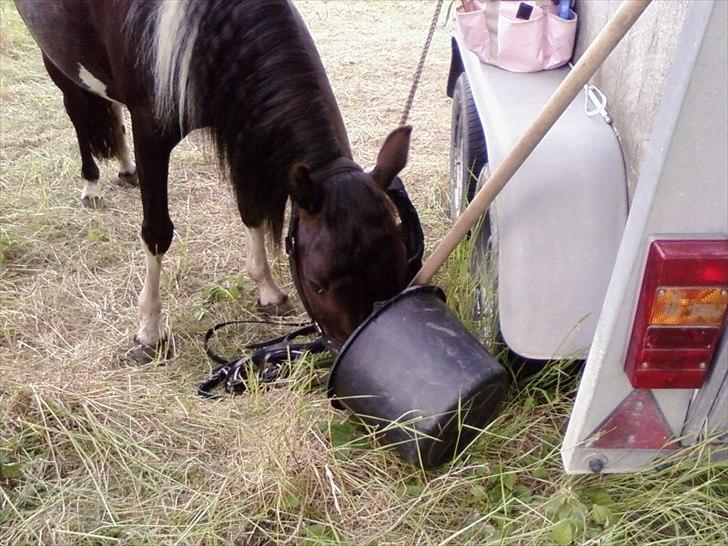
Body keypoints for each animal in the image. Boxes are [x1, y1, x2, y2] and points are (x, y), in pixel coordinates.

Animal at [15, 0, 416, 354]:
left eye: (399, 261)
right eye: (317, 284)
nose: (351, 345)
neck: (209, 27)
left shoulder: (243, 122)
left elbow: (251, 211)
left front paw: (268, 291)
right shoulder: (151, 135)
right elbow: (157, 234)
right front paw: (149, 330)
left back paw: (126, 169)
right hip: (57, 61)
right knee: (77, 113)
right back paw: (91, 184)